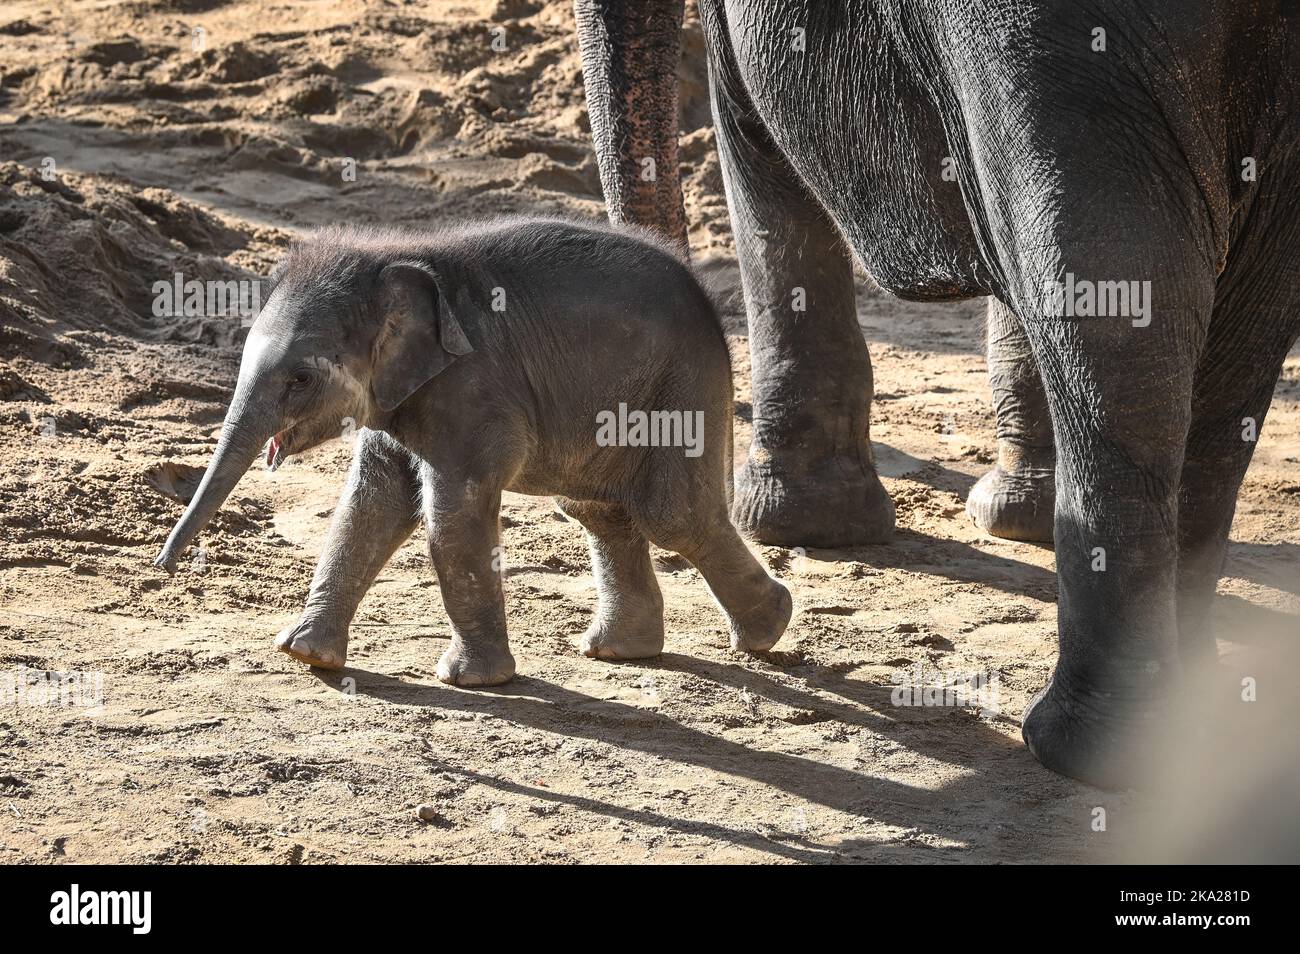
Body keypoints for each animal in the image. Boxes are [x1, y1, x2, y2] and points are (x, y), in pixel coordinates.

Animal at [153, 220, 790, 686]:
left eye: (302, 378)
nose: (165, 567)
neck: (393, 256)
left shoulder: (473, 389)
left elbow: (452, 515)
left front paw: (470, 681)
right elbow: (370, 505)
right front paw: (305, 654)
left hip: (683, 384)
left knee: (671, 515)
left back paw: (769, 628)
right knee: (597, 510)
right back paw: (617, 651)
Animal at [574, 0, 1300, 790]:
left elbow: (751, 130)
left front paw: (794, 522)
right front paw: (1011, 518)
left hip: (1040, 43)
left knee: (1112, 289)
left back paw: (1088, 753)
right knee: (1240, 318)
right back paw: (1188, 744)